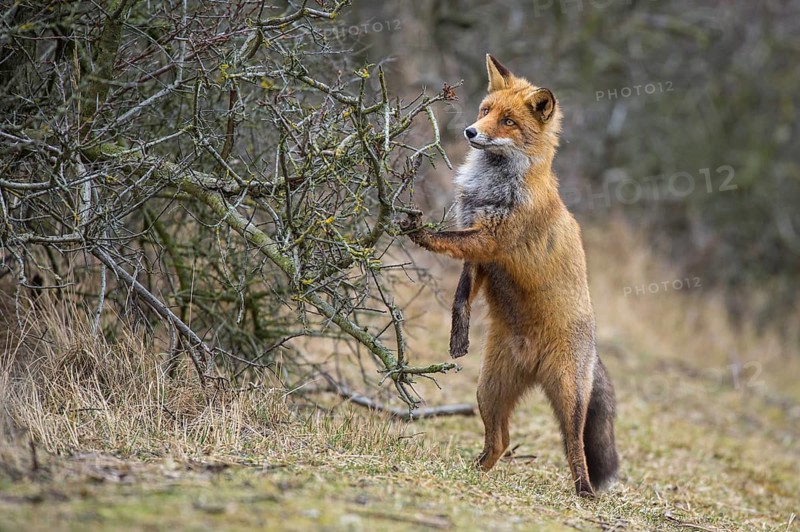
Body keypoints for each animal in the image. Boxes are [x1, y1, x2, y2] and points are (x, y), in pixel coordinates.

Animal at [402, 55, 619, 497]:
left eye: (508, 122)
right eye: (485, 111)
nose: (470, 131)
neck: (493, 185)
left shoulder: (489, 240)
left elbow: (442, 237)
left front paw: (419, 230)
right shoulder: (481, 257)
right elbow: (461, 296)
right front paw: (458, 335)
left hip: (569, 397)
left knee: (576, 447)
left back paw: (584, 492)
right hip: (488, 390)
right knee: (500, 440)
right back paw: (475, 471)